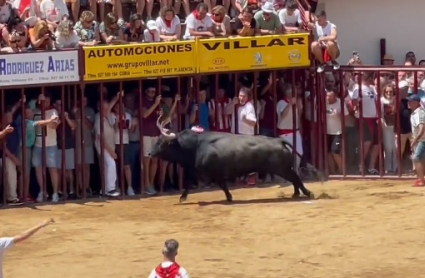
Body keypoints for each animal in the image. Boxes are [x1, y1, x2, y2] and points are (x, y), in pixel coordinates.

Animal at [150, 116, 318, 203]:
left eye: (161, 142)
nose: (150, 153)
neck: (195, 145)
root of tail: (278, 140)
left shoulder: (212, 173)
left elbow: (210, 184)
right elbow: (192, 183)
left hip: (281, 169)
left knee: (295, 178)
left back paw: (307, 193)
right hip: (283, 169)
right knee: (294, 178)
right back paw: (296, 194)